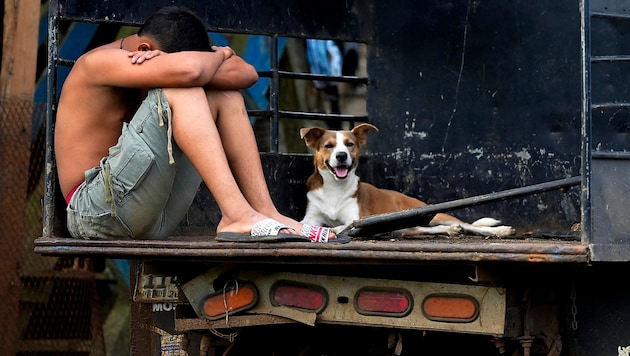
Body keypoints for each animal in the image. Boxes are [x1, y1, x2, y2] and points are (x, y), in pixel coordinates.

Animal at [302, 124, 520, 238]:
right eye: (328, 146)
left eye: (350, 144)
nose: (341, 155)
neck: (334, 188)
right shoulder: (310, 218)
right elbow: (309, 224)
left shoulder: (355, 218)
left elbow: (343, 226)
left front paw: (335, 229)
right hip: (408, 226)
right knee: (426, 229)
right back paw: (450, 230)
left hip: (434, 213)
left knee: (471, 226)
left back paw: (500, 231)